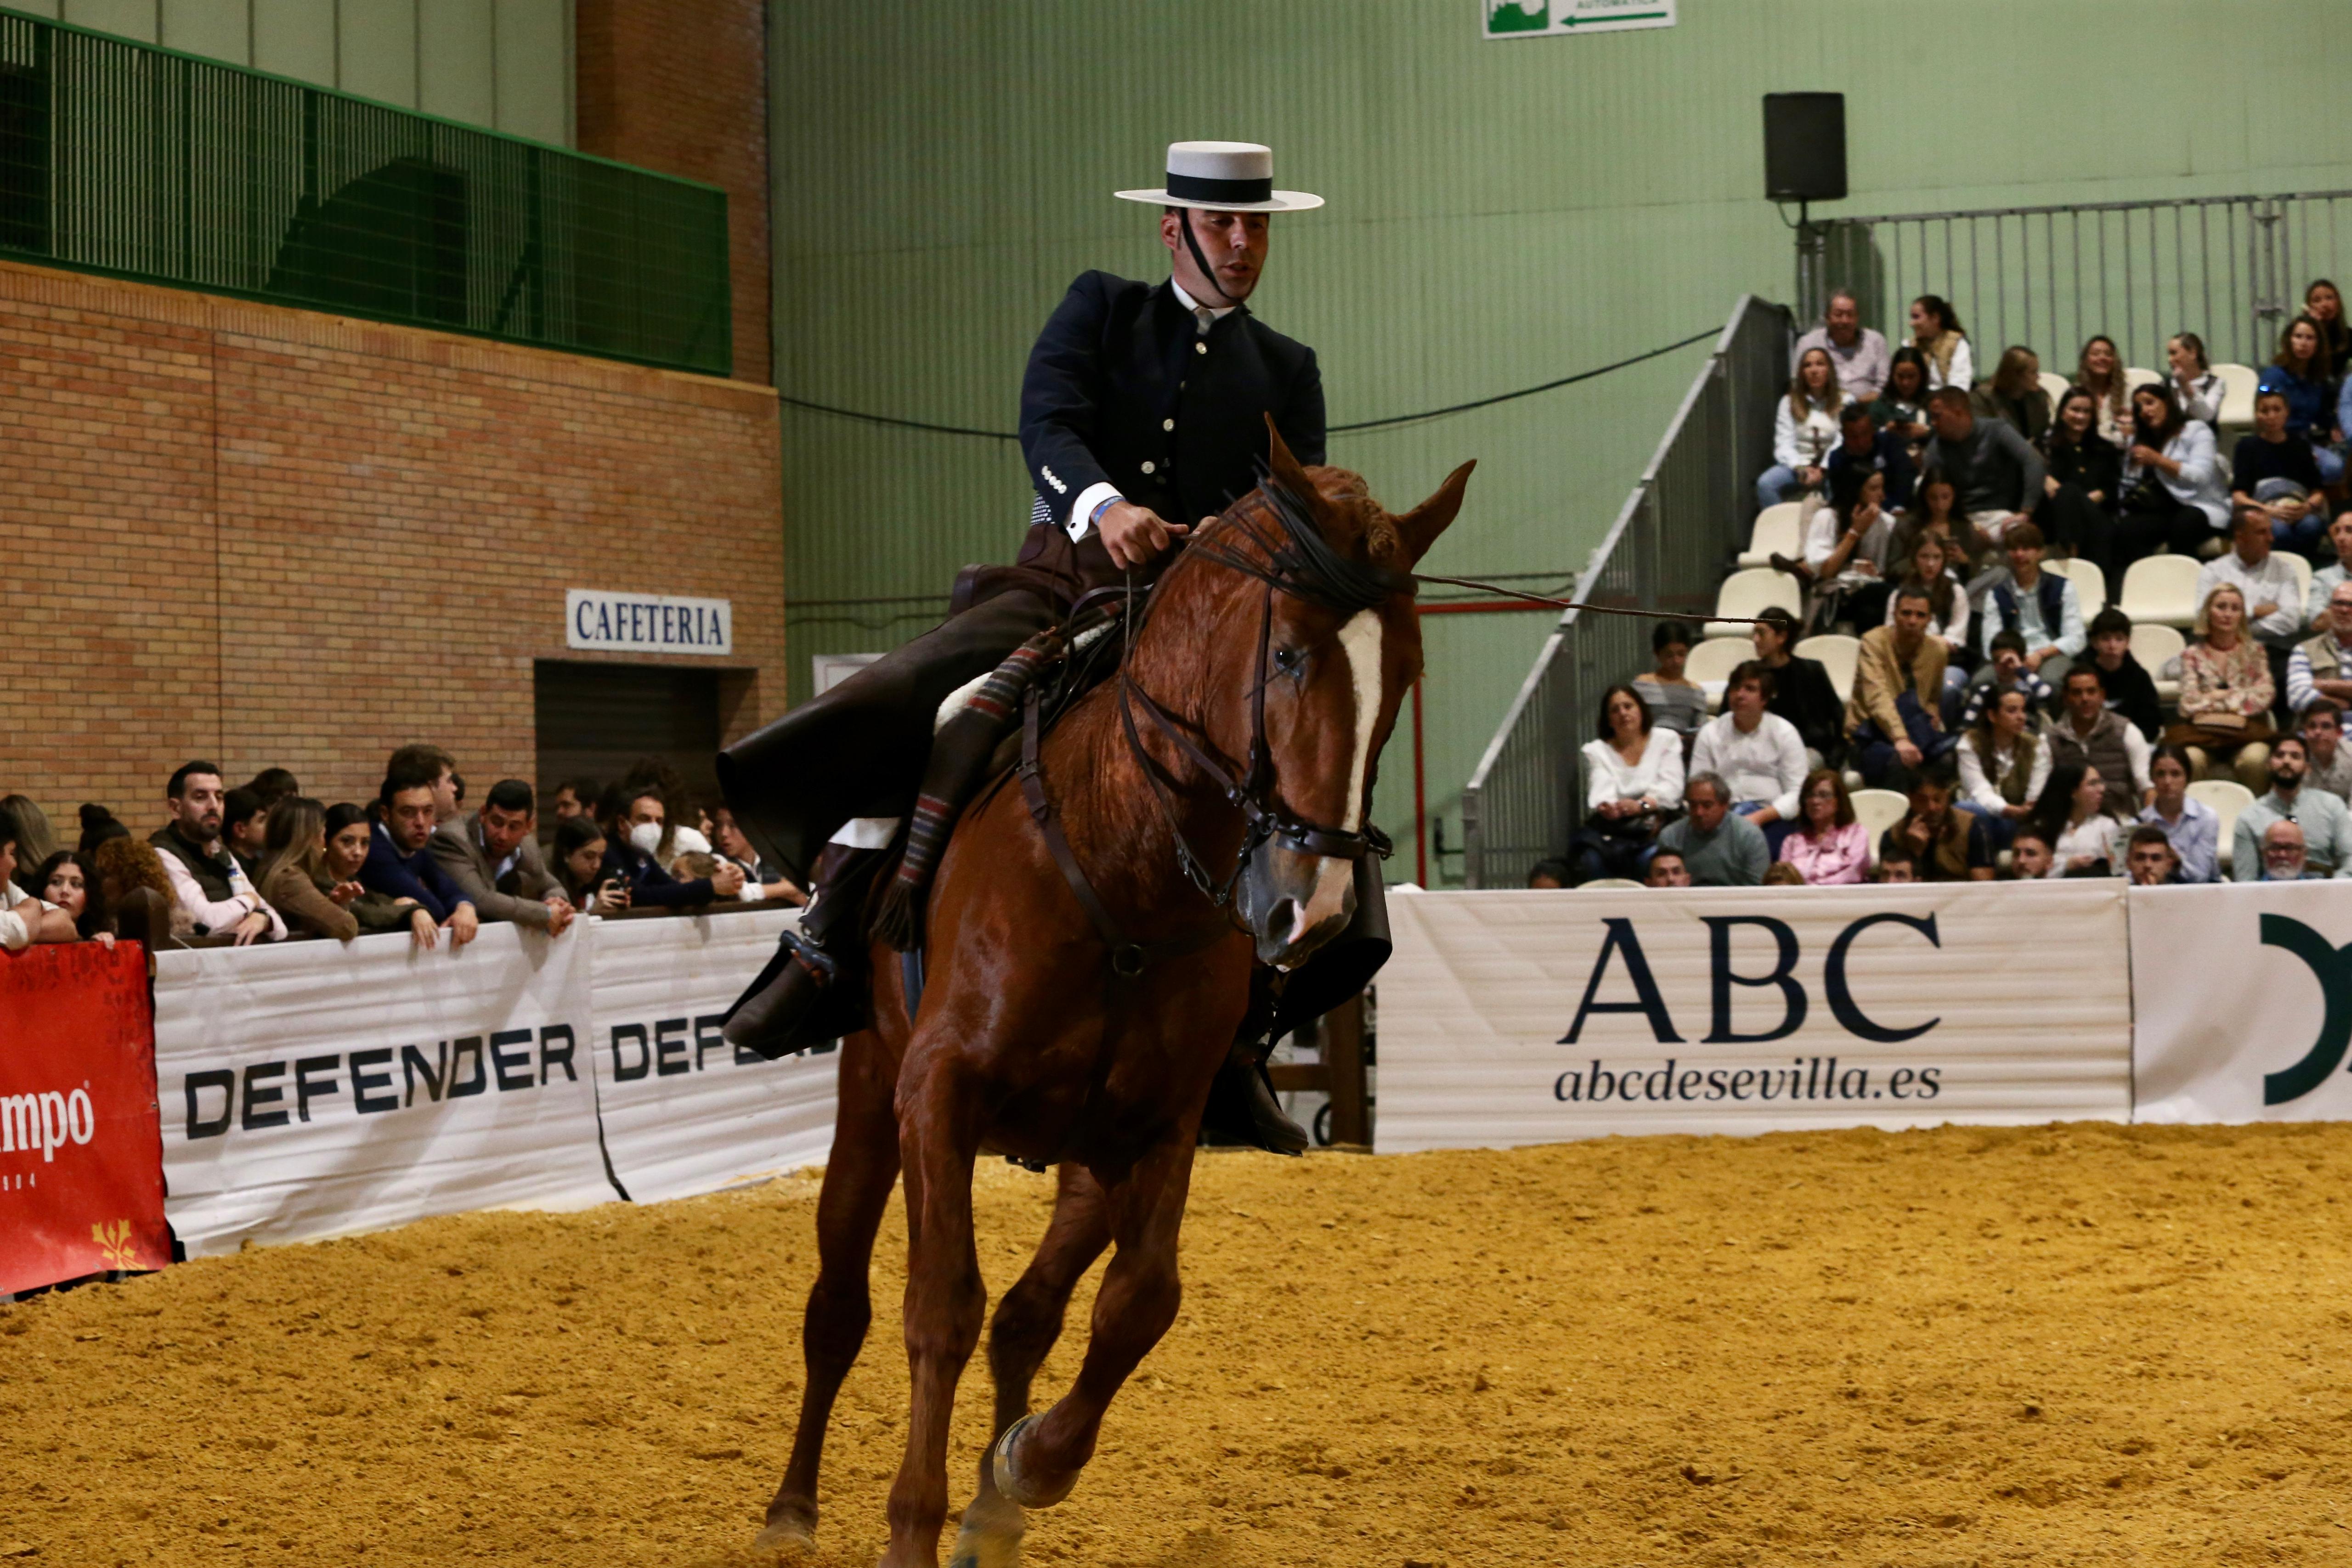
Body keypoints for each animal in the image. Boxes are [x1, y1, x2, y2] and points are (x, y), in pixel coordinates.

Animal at [757, 423, 1467, 1561]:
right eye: (1285, 654)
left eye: (1404, 670)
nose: (1307, 909)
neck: (1124, 861)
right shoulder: (938, 1097)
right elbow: (937, 1308)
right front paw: (913, 1523)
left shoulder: (1162, 1125)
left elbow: (1137, 1304)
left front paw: (1026, 1467)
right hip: (870, 1096)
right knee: (840, 1308)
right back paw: (792, 1509)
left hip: (1084, 1154)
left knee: (1030, 1315)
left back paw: (992, 1514)